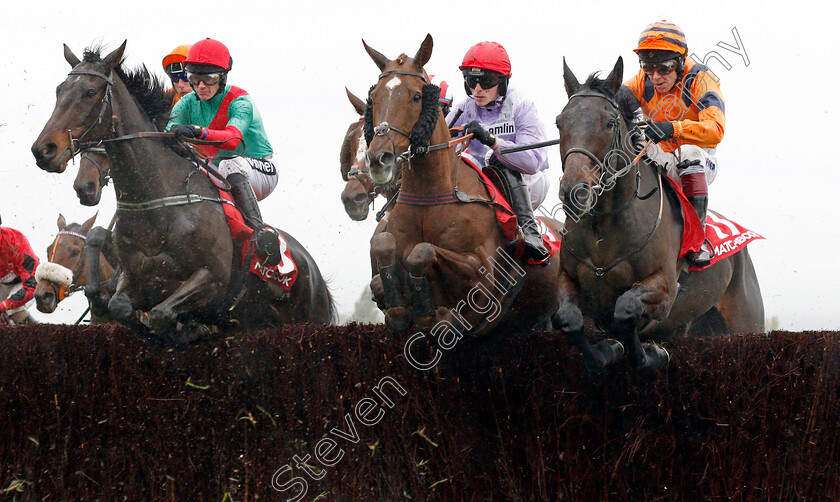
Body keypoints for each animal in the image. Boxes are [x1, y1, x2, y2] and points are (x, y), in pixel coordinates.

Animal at [32, 42, 334, 346]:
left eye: (91, 92)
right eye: (59, 90)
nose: (43, 150)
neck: (159, 203)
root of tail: (316, 274)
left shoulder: (211, 280)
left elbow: (162, 315)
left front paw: (184, 331)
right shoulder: (135, 279)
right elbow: (121, 306)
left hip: (310, 315)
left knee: (234, 166)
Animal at [556, 57, 764, 372]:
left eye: (610, 123)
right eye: (560, 122)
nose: (574, 192)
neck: (603, 227)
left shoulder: (665, 290)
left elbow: (626, 309)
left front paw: (649, 354)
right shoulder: (568, 279)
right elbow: (569, 320)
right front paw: (606, 351)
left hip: (746, 321)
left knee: (692, 155)